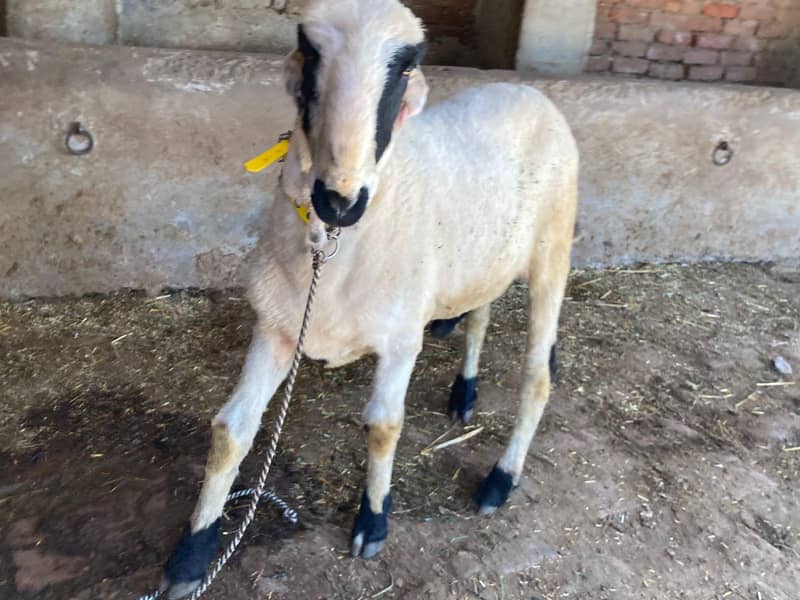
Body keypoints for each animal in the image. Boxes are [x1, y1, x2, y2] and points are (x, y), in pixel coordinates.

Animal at [160, 0, 578, 597]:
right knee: (480, 313)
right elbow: (230, 431)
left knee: (538, 378)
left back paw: (500, 481)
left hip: (551, 253)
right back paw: (465, 392)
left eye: (405, 66)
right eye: (309, 51)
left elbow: (383, 428)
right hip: (486, 258)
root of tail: (526, 92)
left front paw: (373, 522)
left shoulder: (401, 339)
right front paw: (193, 553)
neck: (333, 246)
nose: (340, 199)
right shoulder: (277, 326)